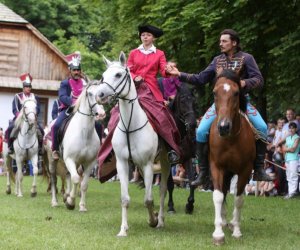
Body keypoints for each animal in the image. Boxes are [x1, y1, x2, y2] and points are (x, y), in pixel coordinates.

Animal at [59, 80, 105, 211]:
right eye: (89, 93)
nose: (101, 114)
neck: (84, 133)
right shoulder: (69, 159)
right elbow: (75, 179)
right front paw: (70, 202)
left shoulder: (90, 163)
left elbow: (84, 184)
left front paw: (82, 206)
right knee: (69, 176)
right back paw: (66, 196)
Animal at [96, 51, 171, 236]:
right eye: (103, 76)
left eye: (118, 74)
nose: (100, 95)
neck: (130, 125)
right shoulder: (123, 164)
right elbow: (125, 198)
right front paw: (123, 229)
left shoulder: (148, 164)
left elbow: (149, 199)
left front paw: (153, 221)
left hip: (164, 162)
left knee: (162, 191)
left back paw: (160, 221)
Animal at [209, 69, 255, 245]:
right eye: (215, 92)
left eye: (236, 93)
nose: (223, 127)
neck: (230, 140)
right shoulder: (216, 167)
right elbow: (218, 196)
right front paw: (218, 233)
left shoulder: (245, 170)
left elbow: (238, 199)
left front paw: (236, 230)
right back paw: (223, 221)